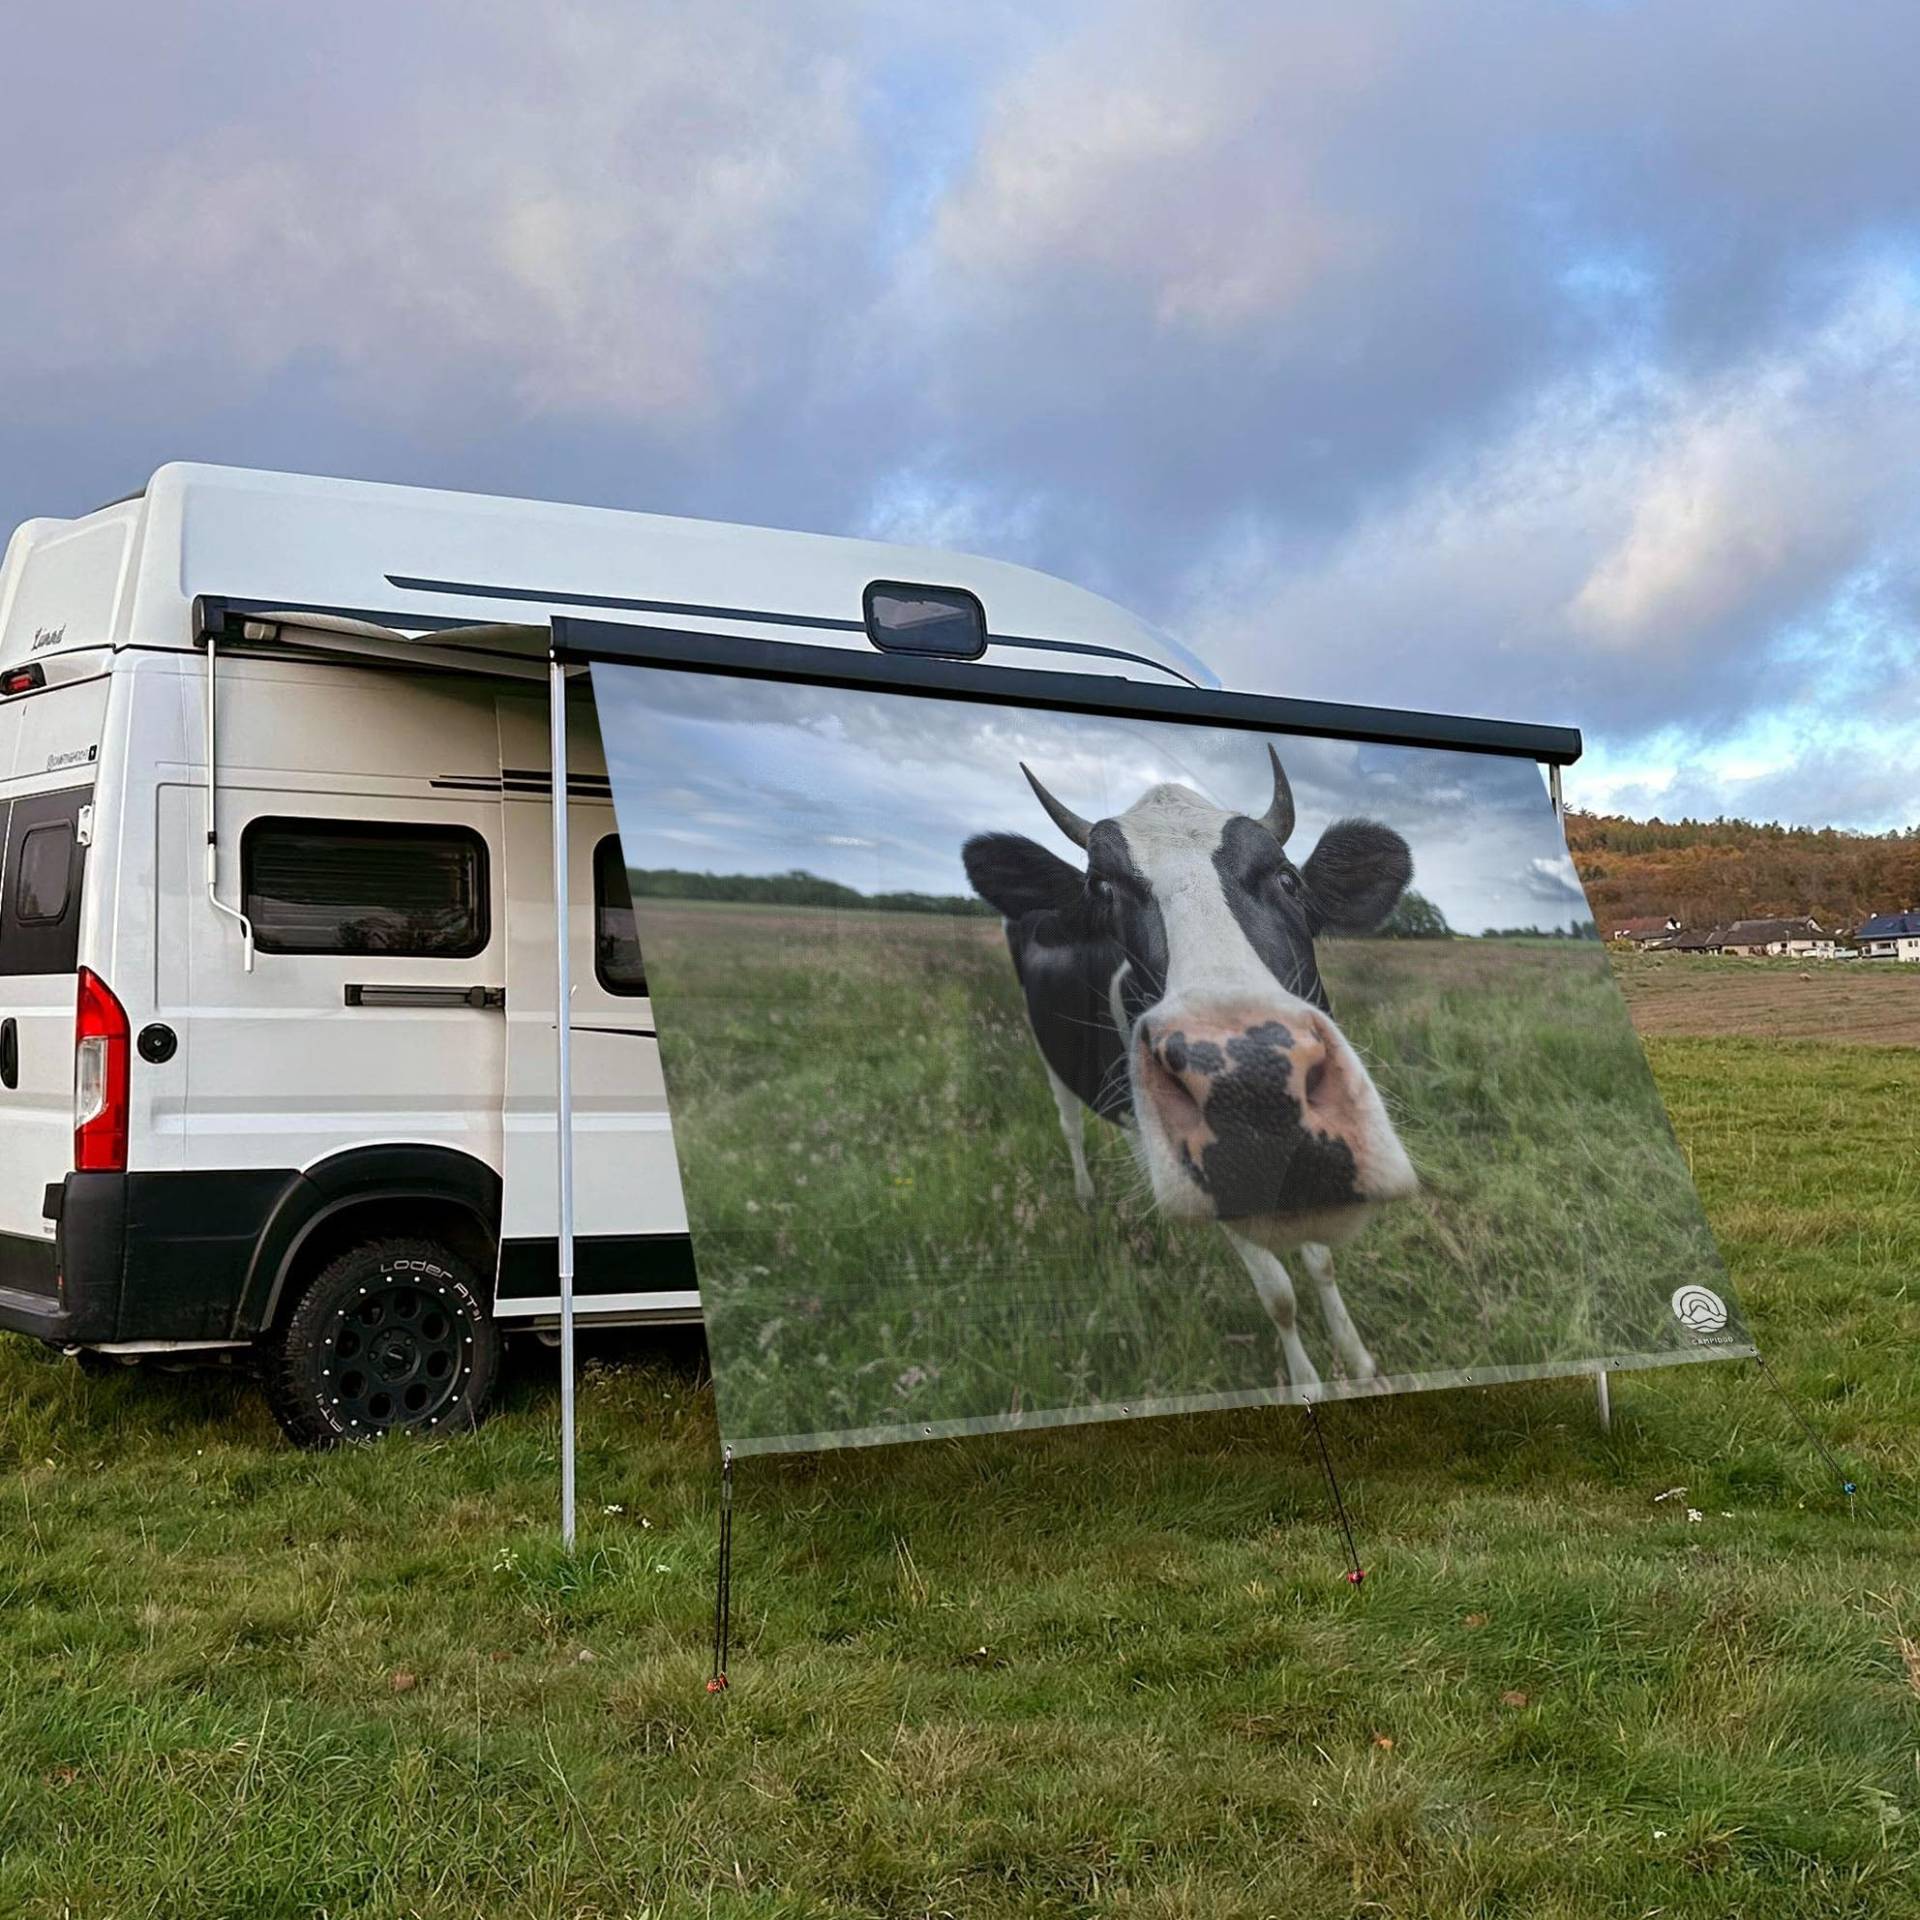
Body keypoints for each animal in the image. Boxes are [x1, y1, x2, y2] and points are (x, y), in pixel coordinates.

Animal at [967, 741, 1420, 1390]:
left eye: (1288, 878)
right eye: (1100, 891)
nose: (1253, 1088)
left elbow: (1322, 1265)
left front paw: (1358, 1363)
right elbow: (1279, 1294)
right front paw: (1306, 1383)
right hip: (1049, 1055)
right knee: (1070, 1123)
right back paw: (1086, 1194)